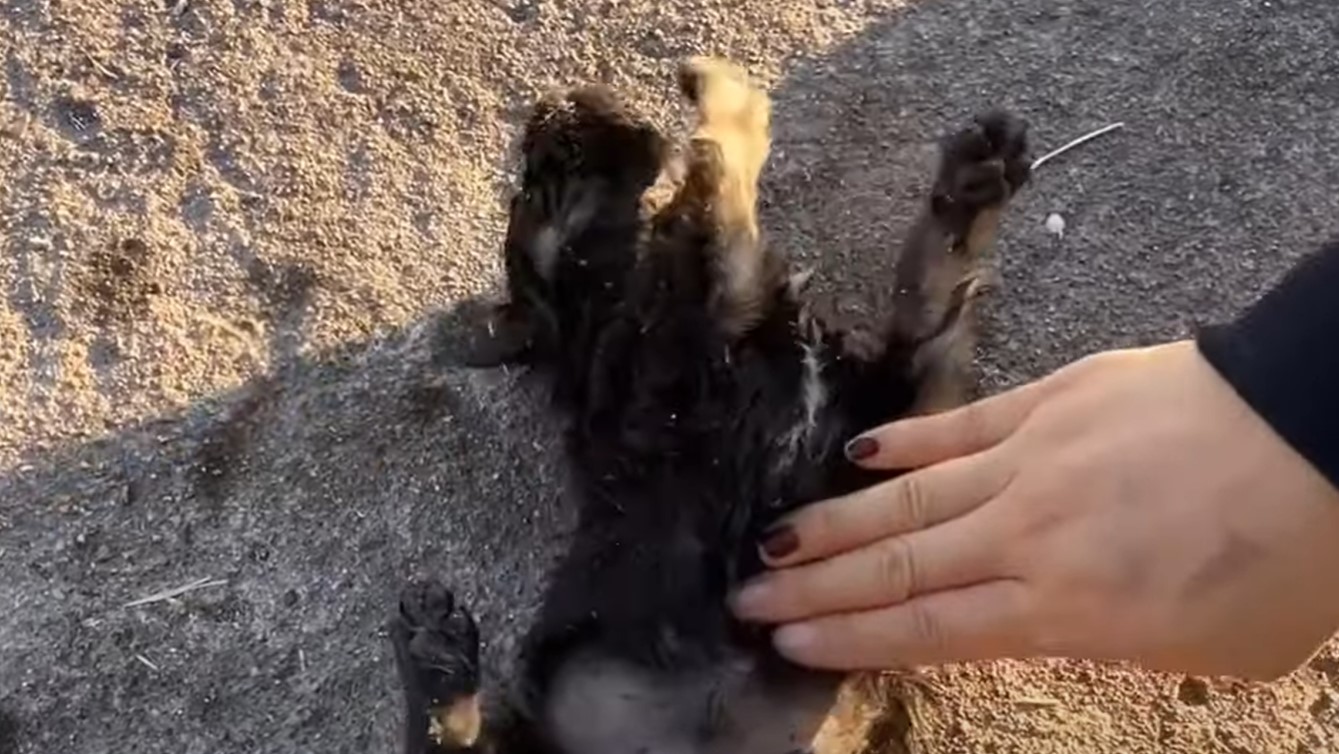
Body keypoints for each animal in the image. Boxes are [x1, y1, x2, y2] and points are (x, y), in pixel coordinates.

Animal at [390, 57, 1028, 754]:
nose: (546, 108)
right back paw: (435, 659)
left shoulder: (895, 414)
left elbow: (930, 287)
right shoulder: (703, 320)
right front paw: (728, 93)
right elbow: (723, 186)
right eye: (531, 195)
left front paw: (972, 182)